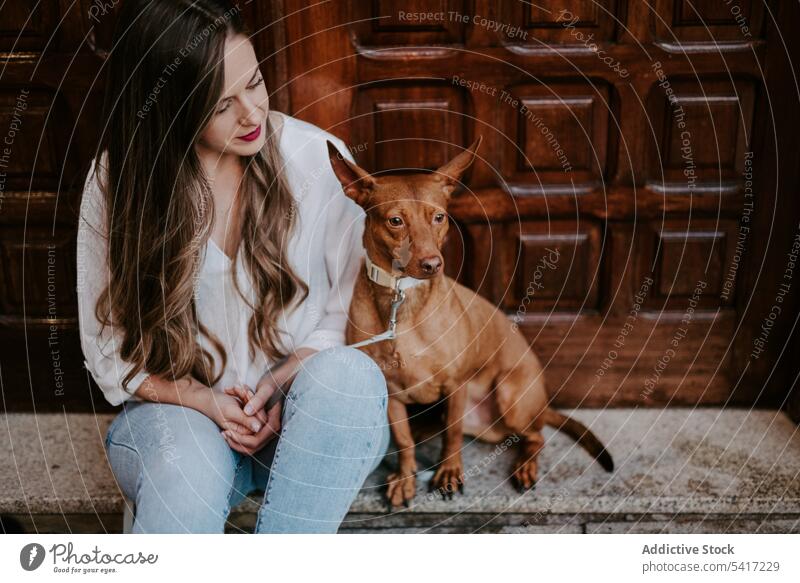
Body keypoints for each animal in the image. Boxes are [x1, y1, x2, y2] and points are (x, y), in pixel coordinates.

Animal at [324, 136, 612, 506]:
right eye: (395, 221)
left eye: (439, 217)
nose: (433, 264)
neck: (402, 297)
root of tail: (542, 404)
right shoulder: (393, 394)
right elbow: (402, 440)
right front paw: (405, 477)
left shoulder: (455, 385)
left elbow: (453, 433)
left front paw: (449, 473)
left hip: (510, 395)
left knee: (536, 436)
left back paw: (525, 467)